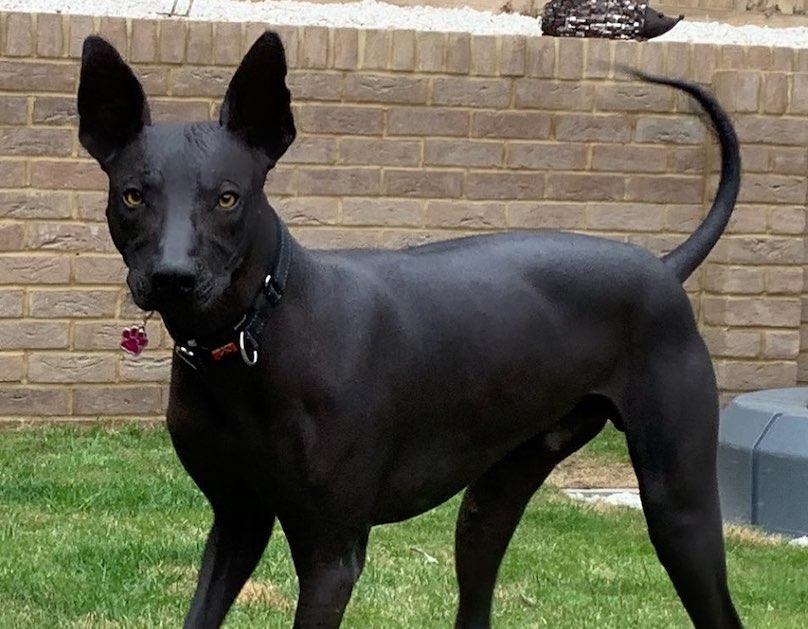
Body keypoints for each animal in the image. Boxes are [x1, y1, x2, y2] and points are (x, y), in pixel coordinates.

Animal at [77, 28, 744, 628]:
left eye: (227, 198)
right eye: (133, 196)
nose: (172, 277)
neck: (252, 339)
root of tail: (663, 266)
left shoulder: (331, 556)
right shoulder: (237, 520)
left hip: (679, 510)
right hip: (489, 503)